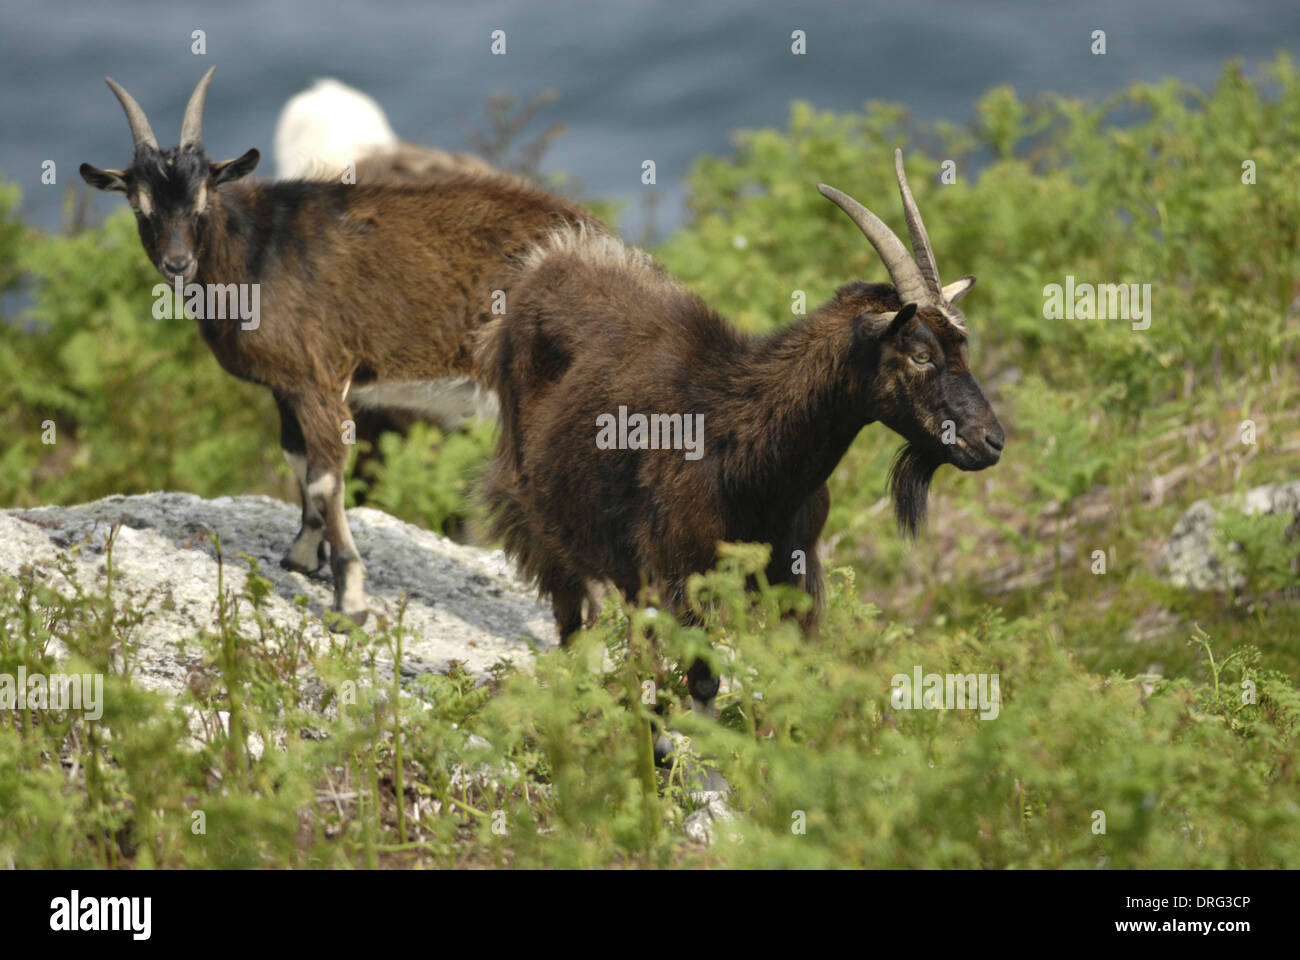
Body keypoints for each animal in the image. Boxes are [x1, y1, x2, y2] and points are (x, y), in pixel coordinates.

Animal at [80, 68, 601, 626]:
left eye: (203, 203)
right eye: (142, 208)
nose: (177, 263)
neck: (253, 252)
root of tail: (595, 239)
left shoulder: (320, 378)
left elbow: (325, 478)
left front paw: (349, 598)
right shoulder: (285, 385)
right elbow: (297, 459)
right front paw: (303, 555)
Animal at [479, 151, 1004, 717]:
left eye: (964, 347)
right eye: (920, 354)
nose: (992, 441)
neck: (746, 451)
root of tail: (549, 259)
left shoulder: (794, 575)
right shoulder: (687, 577)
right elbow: (705, 684)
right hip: (541, 515)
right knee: (571, 618)